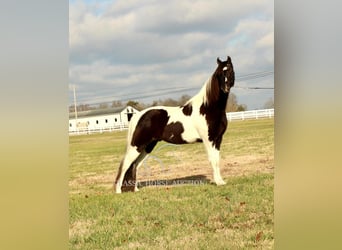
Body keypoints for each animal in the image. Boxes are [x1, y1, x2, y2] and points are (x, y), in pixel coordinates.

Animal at [115, 56, 235, 193]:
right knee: (125, 165)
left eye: (230, 70)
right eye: (219, 73)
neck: (207, 108)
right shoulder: (208, 140)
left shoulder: (217, 139)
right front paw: (218, 182)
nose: (225, 88)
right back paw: (118, 191)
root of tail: (138, 115)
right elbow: (212, 160)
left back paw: (135, 190)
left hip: (147, 146)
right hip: (137, 146)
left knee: (135, 165)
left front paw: (221, 181)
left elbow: (217, 160)